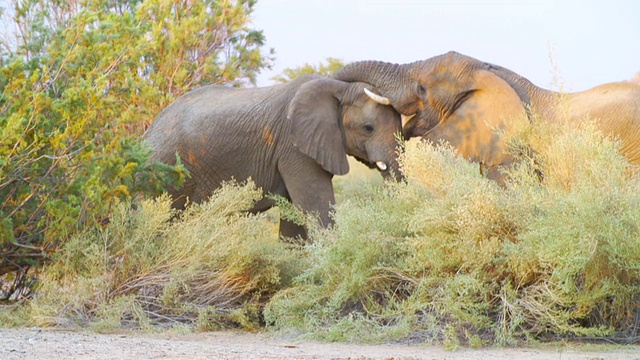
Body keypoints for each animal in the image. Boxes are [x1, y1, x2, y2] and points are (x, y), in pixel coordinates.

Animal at [146, 75, 404, 240]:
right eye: (368, 128)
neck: (337, 87)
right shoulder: (294, 146)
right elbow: (316, 208)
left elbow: (294, 219)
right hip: (167, 167)